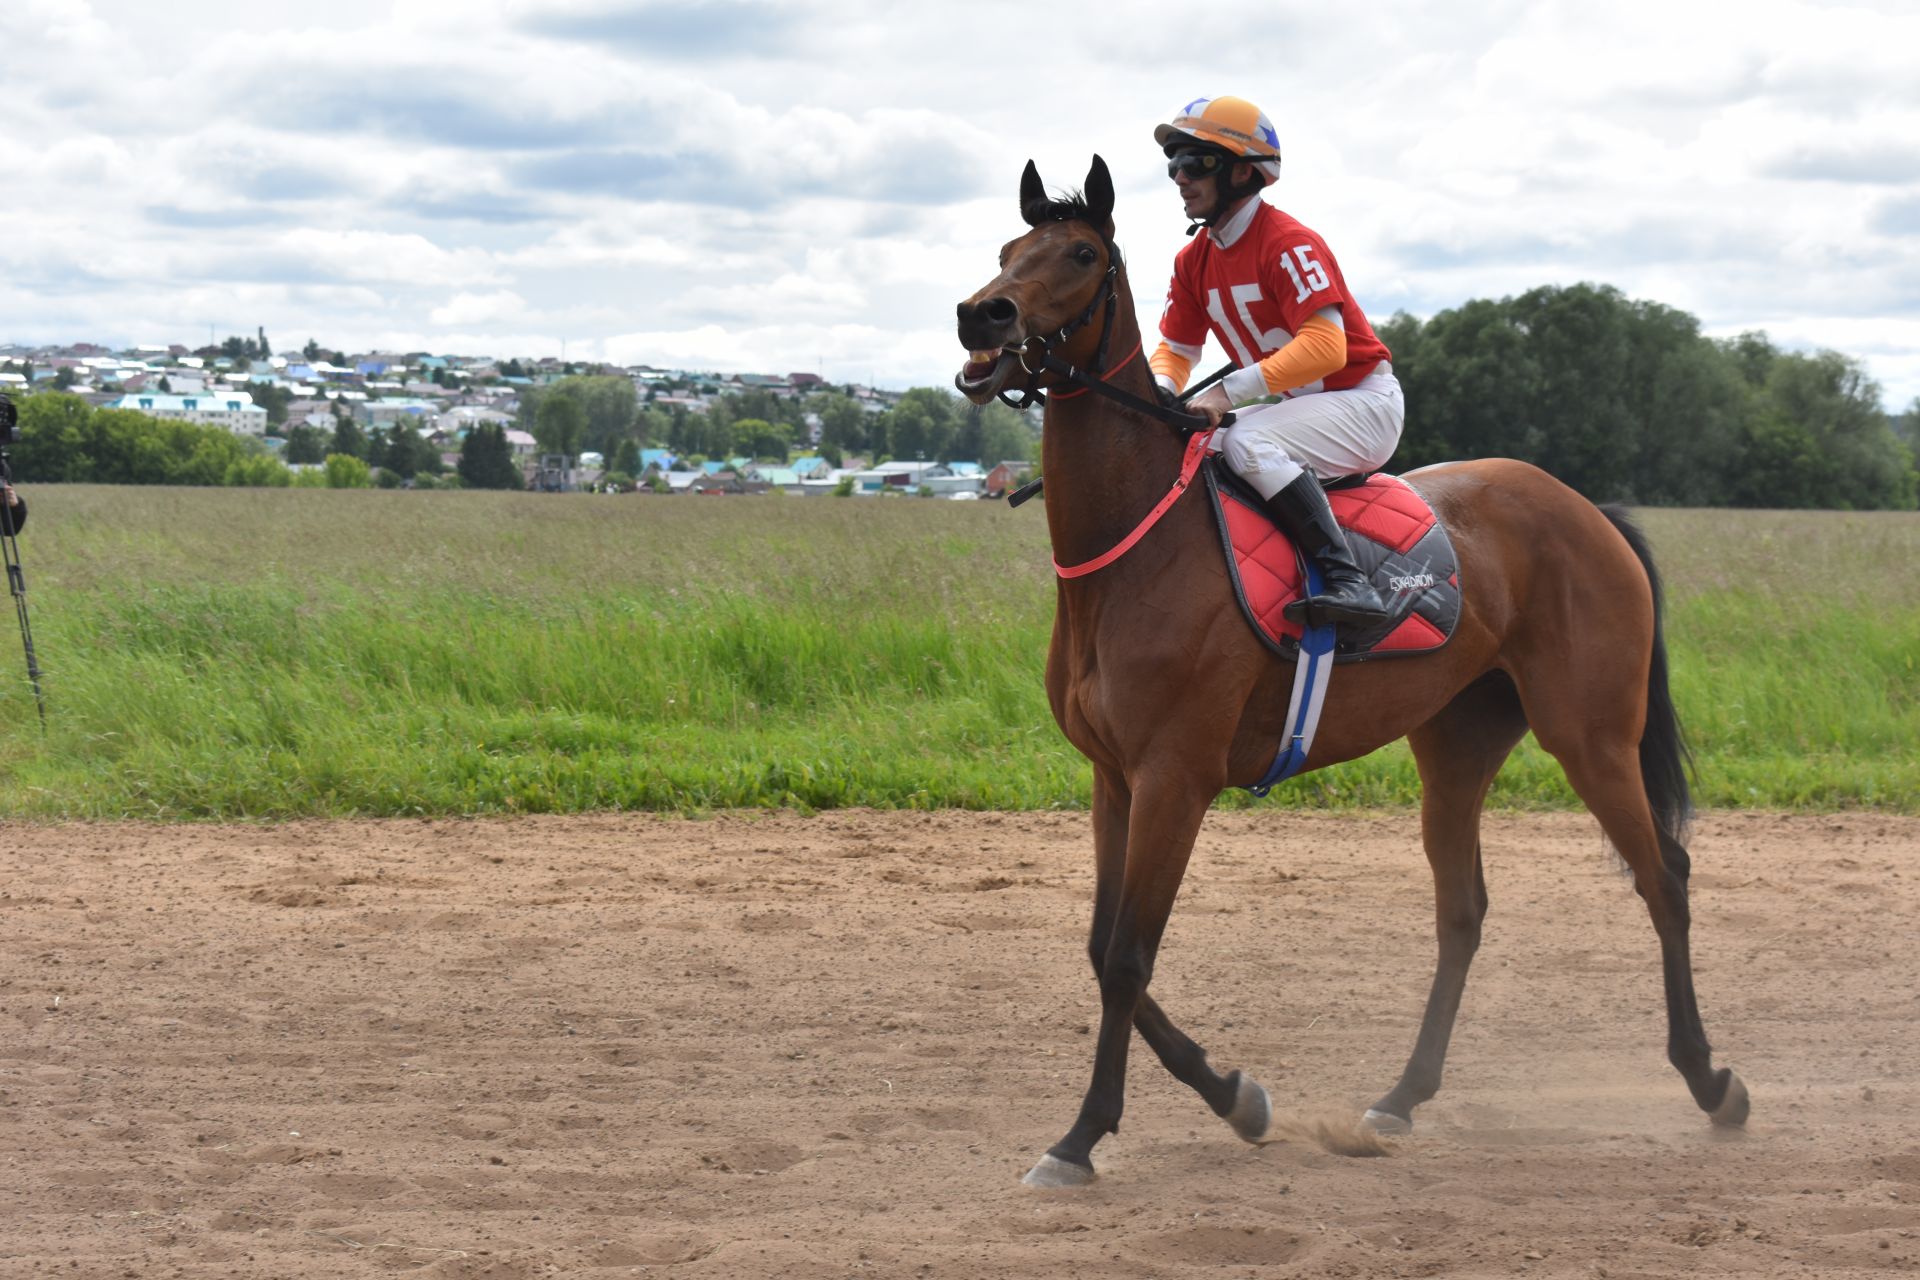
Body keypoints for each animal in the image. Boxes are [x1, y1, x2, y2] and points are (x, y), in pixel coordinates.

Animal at [952, 155, 1751, 1189]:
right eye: (1011, 246)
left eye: (1082, 253)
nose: (981, 315)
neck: (1133, 547)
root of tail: (1587, 508)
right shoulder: (1114, 778)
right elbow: (1101, 948)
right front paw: (1237, 1097)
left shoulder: (1176, 777)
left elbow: (1128, 957)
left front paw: (1083, 1136)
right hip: (1457, 744)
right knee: (1464, 911)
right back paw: (1402, 1096)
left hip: (1592, 733)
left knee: (1664, 876)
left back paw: (1711, 1082)